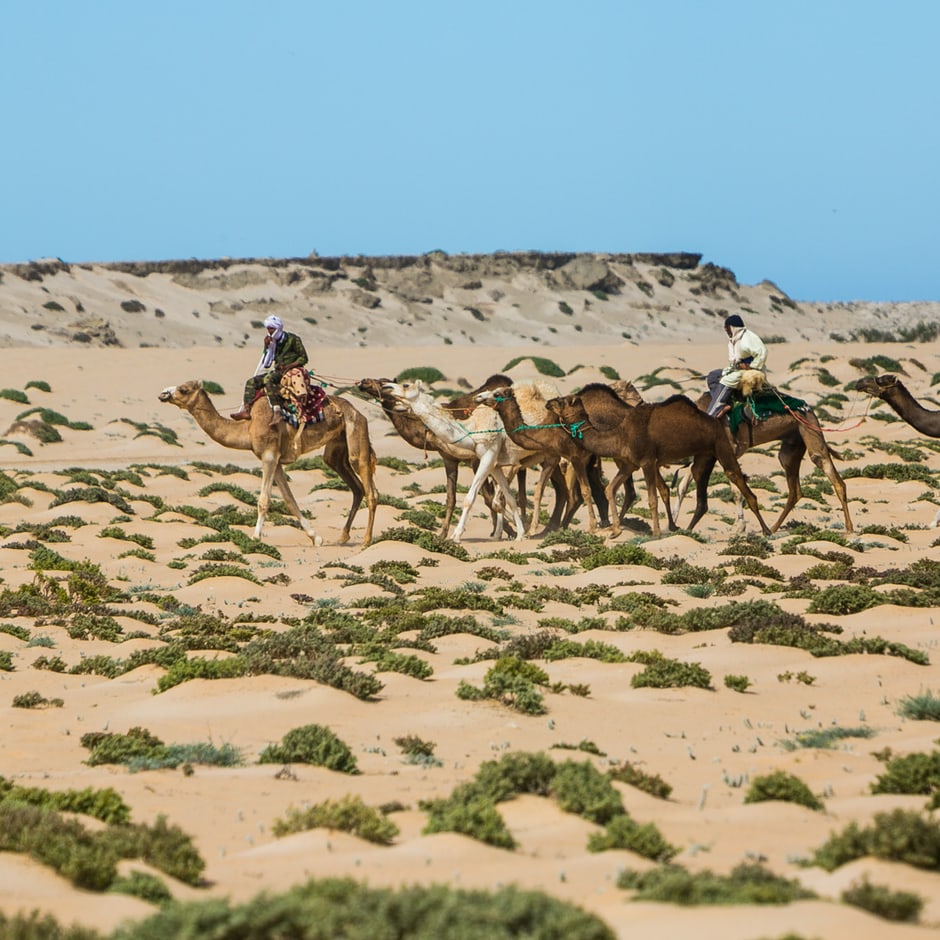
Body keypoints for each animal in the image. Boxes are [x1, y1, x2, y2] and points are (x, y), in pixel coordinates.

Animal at [160, 378, 376, 548]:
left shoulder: (269, 455)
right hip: (336, 448)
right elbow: (290, 500)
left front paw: (255, 538)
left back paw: (366, 541)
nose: (163, 394)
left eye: (184, 389)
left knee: (370, 490)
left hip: (355, 433)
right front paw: (316, 538)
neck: (247, 428)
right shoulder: (277, 461)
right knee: (356, 487)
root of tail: (358, 411)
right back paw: (343, 536)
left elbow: (264, 500)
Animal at [544, 384, 772, 536]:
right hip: (705, 454)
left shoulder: (646, 461)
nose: (548, 402)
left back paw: (767, 530)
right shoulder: (629, 463)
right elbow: (611, 489)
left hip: (721, 444)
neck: (620, 433)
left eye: (564, 401)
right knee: (701, 481)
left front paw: (655, 532)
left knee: (737, 478)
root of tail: (716, 419)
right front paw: (615, 530)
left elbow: (651, 499)